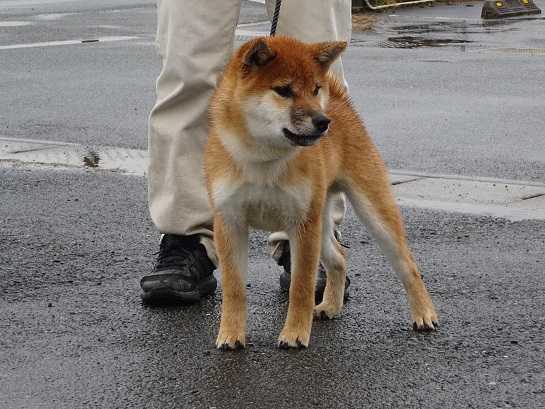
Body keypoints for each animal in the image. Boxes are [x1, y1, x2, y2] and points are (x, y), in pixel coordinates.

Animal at [204, 35, 438, 350]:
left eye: (315, 90)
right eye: (283, 90)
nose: (323, 122)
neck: (264, 160)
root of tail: (338, 102)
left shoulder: (302, 224)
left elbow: (300, 287)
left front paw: (295, 334)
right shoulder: (230, 223)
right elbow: (234, 288)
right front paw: (230, 334)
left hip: (369, 212)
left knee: (407, 265)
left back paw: (424, 314)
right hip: (321, 219)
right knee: (338, 258)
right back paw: (330, 305)